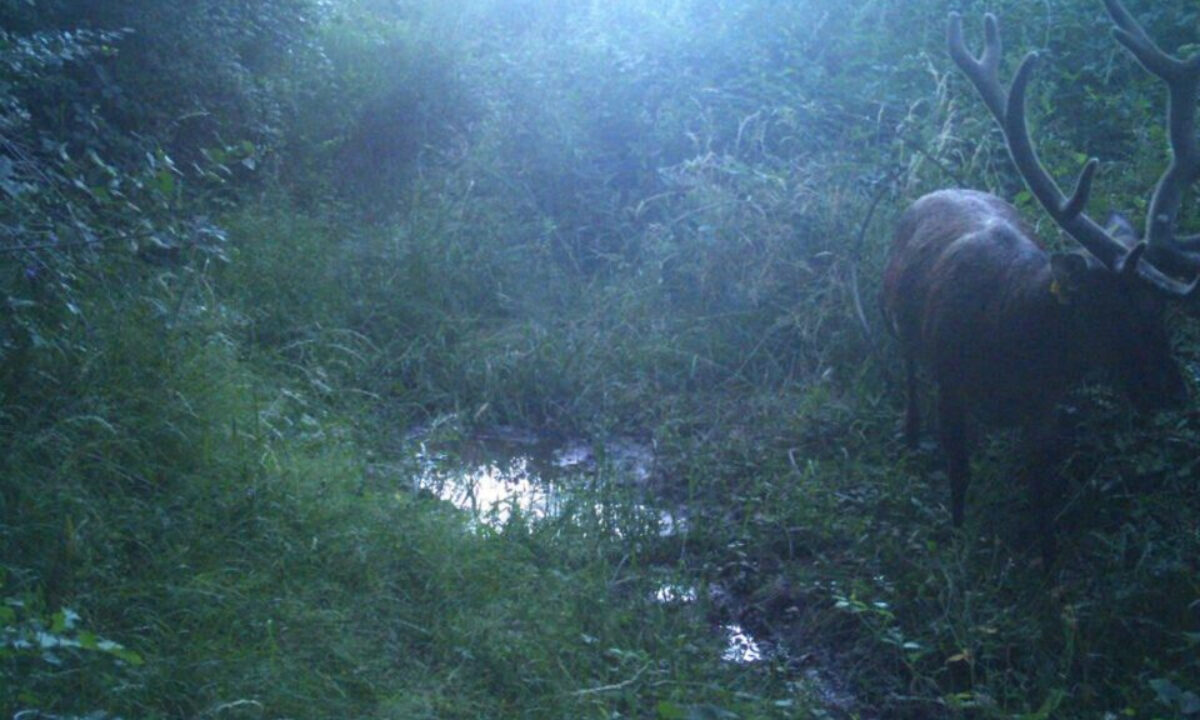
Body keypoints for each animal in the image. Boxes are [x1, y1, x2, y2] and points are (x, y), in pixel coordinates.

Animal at [881, 0, 1200, 562]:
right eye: (1111, 312)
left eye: (1158, 309)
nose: (1172, 390)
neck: (1010, 344)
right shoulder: (950, 383)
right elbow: (959, 475)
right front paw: (959, 535)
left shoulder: (1043, 407)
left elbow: (1042, 491)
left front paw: (1048, 561)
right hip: (896, 319)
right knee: (908, 369)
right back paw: (911, 432)